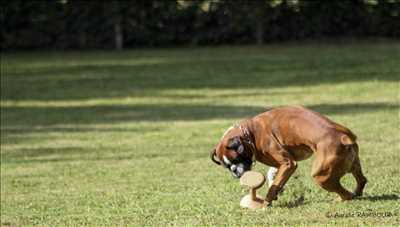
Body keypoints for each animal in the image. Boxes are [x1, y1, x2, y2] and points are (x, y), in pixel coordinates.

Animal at [211, 105, 368, 207]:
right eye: (227, 166)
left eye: (236, 159)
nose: (236, 173)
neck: (249, 133)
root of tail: (342, 137)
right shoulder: (285, 163)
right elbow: (274, 177)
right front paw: (277, 188)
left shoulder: (288, 163)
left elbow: (274, 184)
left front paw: (266, 202)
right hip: (352, 164)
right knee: (362, 180)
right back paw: (357, 192)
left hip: (321, 176)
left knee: (346, 194)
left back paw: (342, 199)